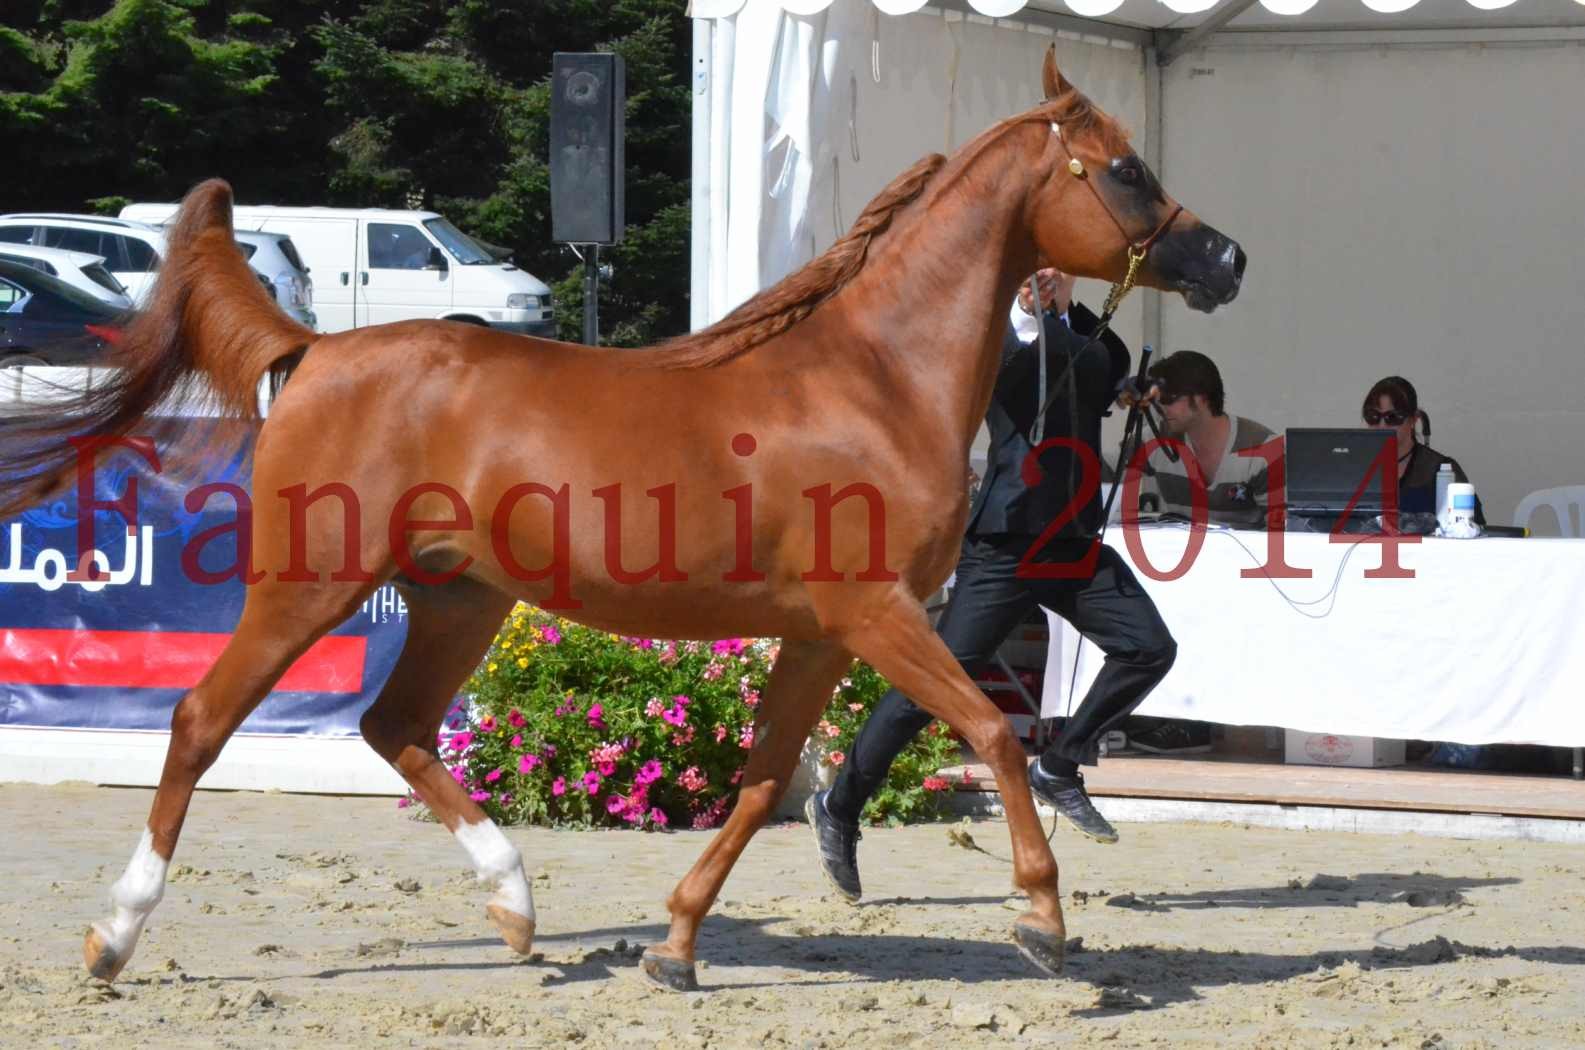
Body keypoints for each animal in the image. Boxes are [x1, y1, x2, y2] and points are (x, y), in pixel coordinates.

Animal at [6, 55, 1242, 996]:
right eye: (1125, 168)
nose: (1224, 258)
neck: (871, 379)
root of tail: (312, 351)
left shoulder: (820, 633)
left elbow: (762, 784)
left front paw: (677, 947)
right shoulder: (878, 615)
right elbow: (992, 735)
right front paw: (1043, 923)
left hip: (462, 596)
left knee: (394, 726)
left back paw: (515, 908)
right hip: (311, 585)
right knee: (201, 719)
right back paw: (114, 936)